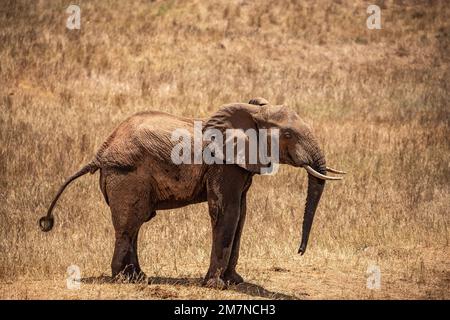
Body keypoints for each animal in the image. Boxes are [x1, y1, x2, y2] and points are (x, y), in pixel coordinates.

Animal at [39, 97, 344, 288]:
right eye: (289, 135)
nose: (299, 251)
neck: (251, 112)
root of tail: (100, 153)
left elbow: (242, 215)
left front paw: (236, 281)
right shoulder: (223, 164)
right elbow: (227, 212)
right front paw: (216, 286)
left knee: (136, 224)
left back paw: (140, 278)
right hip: (126, 175)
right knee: (128, 224)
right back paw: (124, 280)